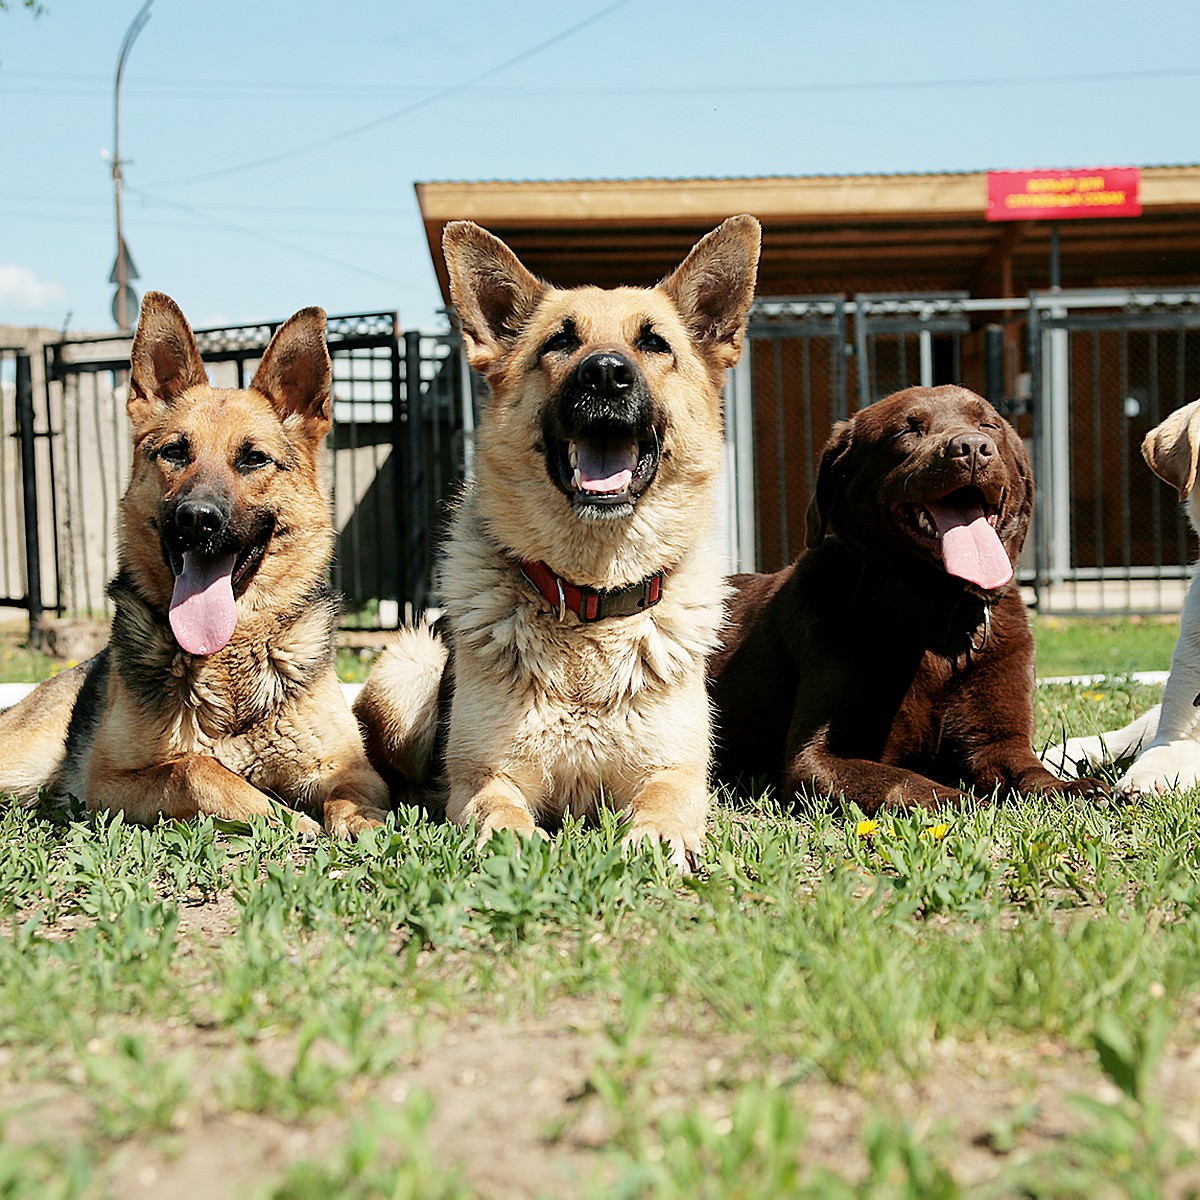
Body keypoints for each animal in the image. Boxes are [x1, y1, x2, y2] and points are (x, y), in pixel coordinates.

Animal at [0, 292, 386, 835]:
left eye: (254, 459)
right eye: (175, 452)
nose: (197, 519)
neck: (228, 664)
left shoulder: (352, 770)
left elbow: (354, 799)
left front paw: (362, 825)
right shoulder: (107, 784)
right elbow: (197, 769)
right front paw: (288, 819)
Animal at [350, 218, 758, 873]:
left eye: (655, 344)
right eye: (559, 343)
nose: (606, 373)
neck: (591, 599)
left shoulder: (678, 773)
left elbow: (665, 803)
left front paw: (653, 840)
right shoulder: (484, 775)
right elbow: (496, 807)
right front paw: (513, 844)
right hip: (408, 670)